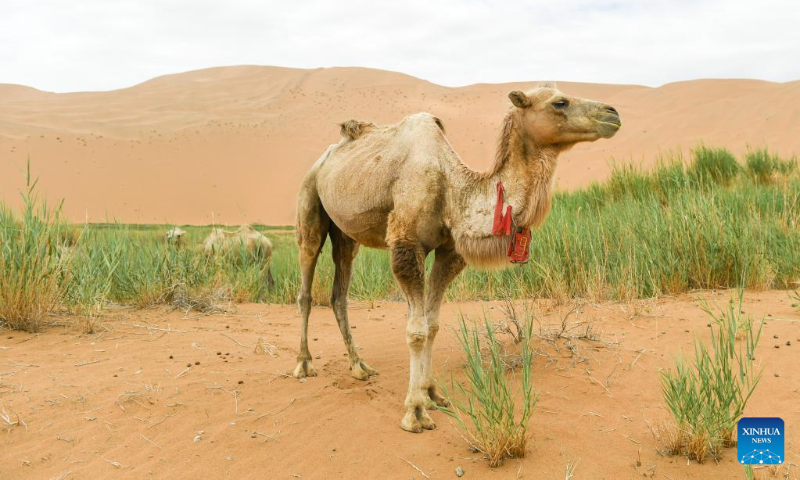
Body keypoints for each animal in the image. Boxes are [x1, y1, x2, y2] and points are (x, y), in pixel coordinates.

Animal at [293, 84, 621, 433]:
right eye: (560, 102)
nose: (612, 113)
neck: (453, 189)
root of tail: (324, 159)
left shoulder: (449, 251)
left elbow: (433, 324)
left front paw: (431, 394)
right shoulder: (406, 244)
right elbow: (417, 330)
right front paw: (415, 411)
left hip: (345, 233)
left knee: (339, 293)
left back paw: (359, 367)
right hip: (309, 202)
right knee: (306, 286)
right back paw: (304, 364)